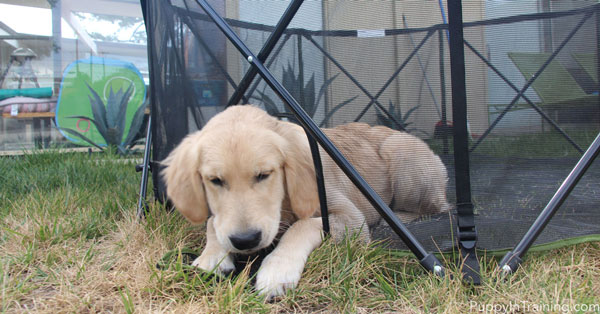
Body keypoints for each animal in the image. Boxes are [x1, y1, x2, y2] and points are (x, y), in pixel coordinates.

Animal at [162, 104, 448, 298]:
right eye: (215, 180)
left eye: (264, 175)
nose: (245, 241)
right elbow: (213, 223)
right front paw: (210, 257)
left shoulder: (352, 218)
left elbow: (303, 225)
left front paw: (277, 270)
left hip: (399, 149)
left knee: (438, 206)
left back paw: (395, 218)